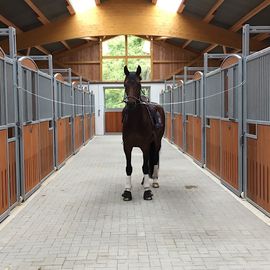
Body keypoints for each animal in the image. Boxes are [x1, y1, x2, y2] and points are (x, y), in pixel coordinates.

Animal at [122, 65, 165, 200]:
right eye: (125, 84)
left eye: (139, 84)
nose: (131, 103)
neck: (136, 121)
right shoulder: (127, 147)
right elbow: (128, 168)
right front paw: (127, 191)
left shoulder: (145, 146)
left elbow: (145, 167)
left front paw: (147, 191)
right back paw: (143, 181)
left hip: (156, 143)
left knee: (155, 159)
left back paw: (154, 182)